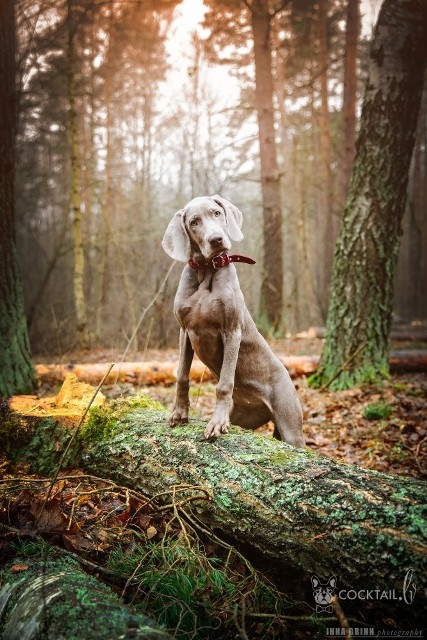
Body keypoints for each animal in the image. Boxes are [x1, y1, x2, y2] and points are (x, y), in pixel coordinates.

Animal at [160, 192, 304, 448]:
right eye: (194, 222)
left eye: (217, 213)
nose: (216, 239)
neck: (207, 270)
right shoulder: (185, 331)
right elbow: (182, 375)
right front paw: (179, 413)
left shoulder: (231, 330)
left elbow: (224, 383)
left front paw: (216, 422)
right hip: (245, 416)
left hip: (291, 427)